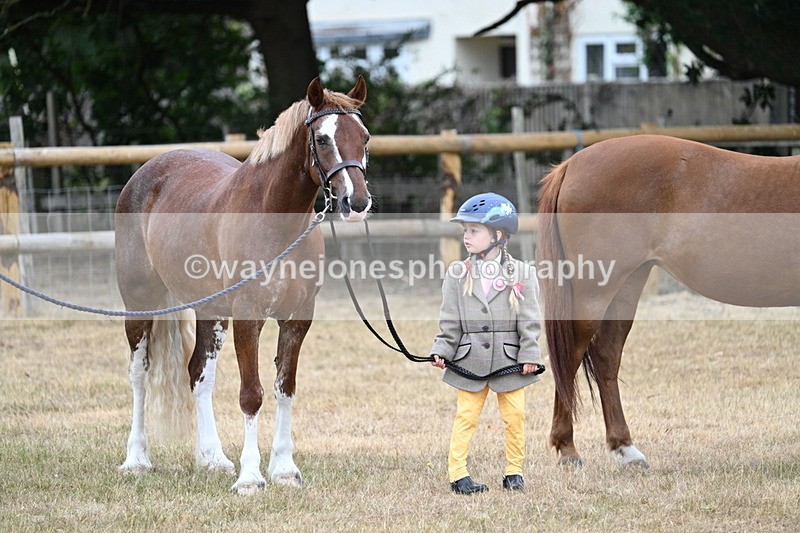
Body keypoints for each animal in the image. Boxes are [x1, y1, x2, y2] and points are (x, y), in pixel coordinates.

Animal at [114, 76, 372, 494]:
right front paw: (250, 477)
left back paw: (213, 459)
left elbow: (285, 388)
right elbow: (252, 395)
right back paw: (136, 459)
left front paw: (284, 469)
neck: (274, 220)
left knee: (198, 374)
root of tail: (146, 174)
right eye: (322, 139)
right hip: (140, 303)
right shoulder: (248, 317)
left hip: (211, 310)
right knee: (140, 374)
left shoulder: (297, 319)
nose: (357, 202)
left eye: (364, 137)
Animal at [537, 134, 800, 468]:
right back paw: (568, 449)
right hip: (595, 290)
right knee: (571, 356)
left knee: (606, 355)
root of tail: (571, 165)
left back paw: (625, 449)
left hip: (627, 285)